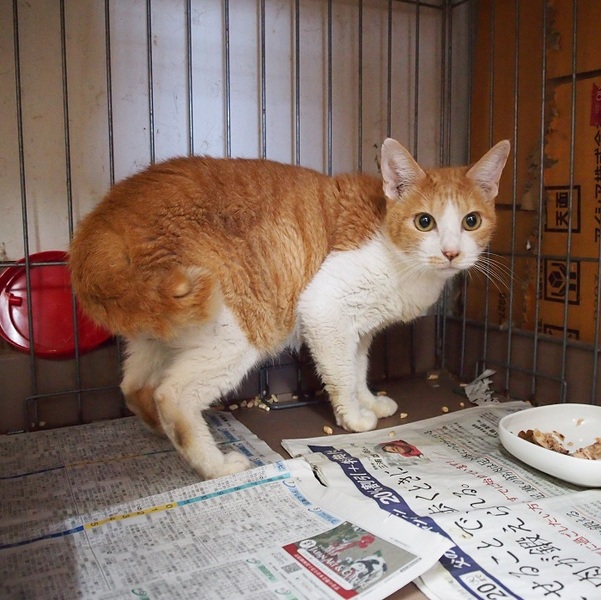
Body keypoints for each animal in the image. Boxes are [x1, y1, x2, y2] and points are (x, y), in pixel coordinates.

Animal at [69, 138, 510, 480]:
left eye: (471, 221)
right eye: (424, 222)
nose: (451, 253)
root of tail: (103, 223)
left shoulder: (359, 330)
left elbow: (358, 369)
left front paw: (369, 401)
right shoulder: (325, 309)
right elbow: (341, 375)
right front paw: (354, 417)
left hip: (158, 329)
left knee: (135, 387)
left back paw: (164, 433)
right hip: (237, 330)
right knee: (171, 395)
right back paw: (216, 465)